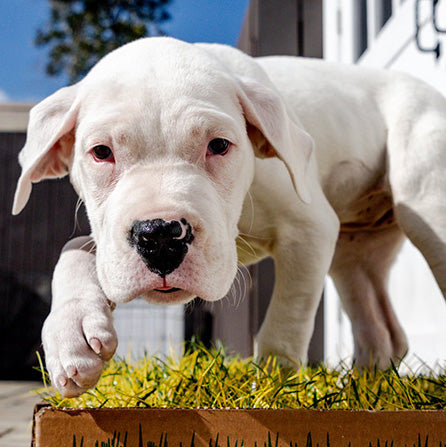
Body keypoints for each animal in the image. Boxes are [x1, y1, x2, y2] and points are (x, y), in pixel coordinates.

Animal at [13, 36, 446, 398]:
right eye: (101, 152)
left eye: (219, 145)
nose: (161, 235)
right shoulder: (106, 243)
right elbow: (73, 249)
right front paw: (72, 335)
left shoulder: (311, 229)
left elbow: (285, 321)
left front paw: (272, 388)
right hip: (354, 253)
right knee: (383, 332)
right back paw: (366, 389)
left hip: (425, 205)